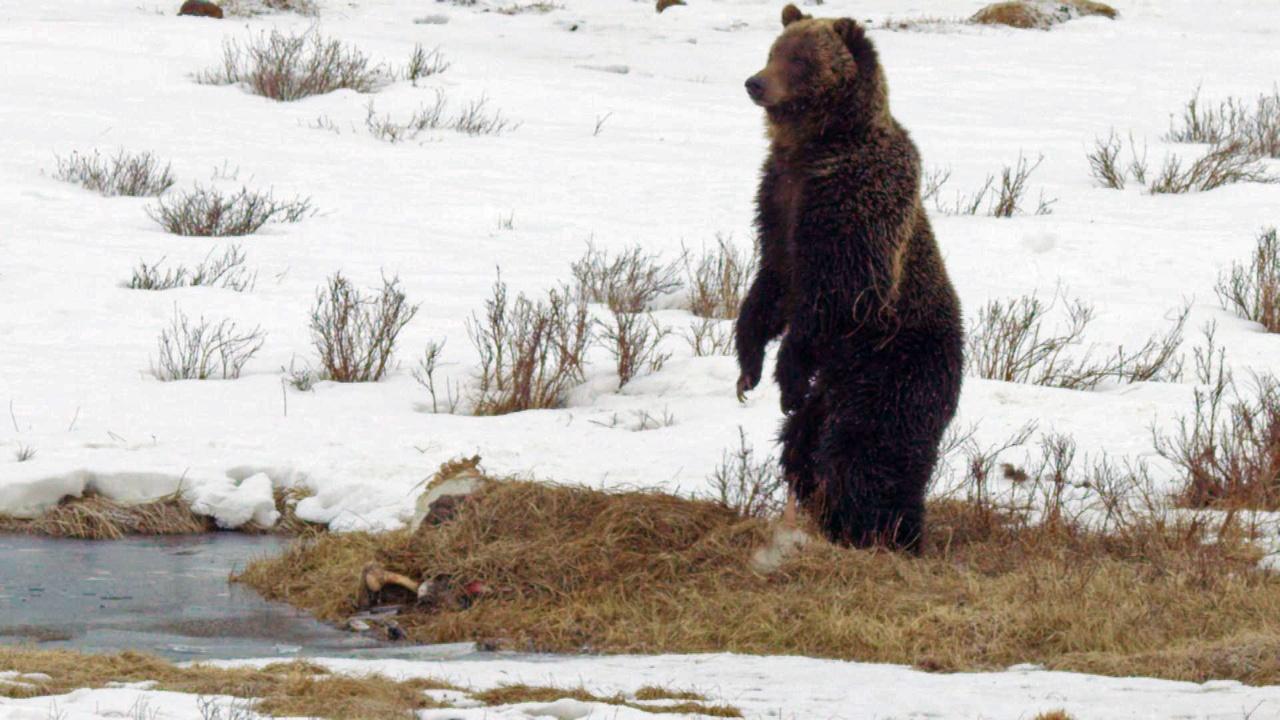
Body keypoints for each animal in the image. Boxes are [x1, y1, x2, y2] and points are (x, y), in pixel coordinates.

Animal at [742, 4, 962, 548]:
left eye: (799, 59)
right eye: (773, 50)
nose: (755, 82)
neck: (817, 147)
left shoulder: (853, 207)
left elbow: (836, 293)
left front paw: (786, 369)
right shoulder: (777, 200)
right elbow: (770, 283)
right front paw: (748, 365)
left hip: (893, 366)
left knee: (867, 449)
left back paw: (881, 529)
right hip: (836, 386)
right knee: (803, 444)